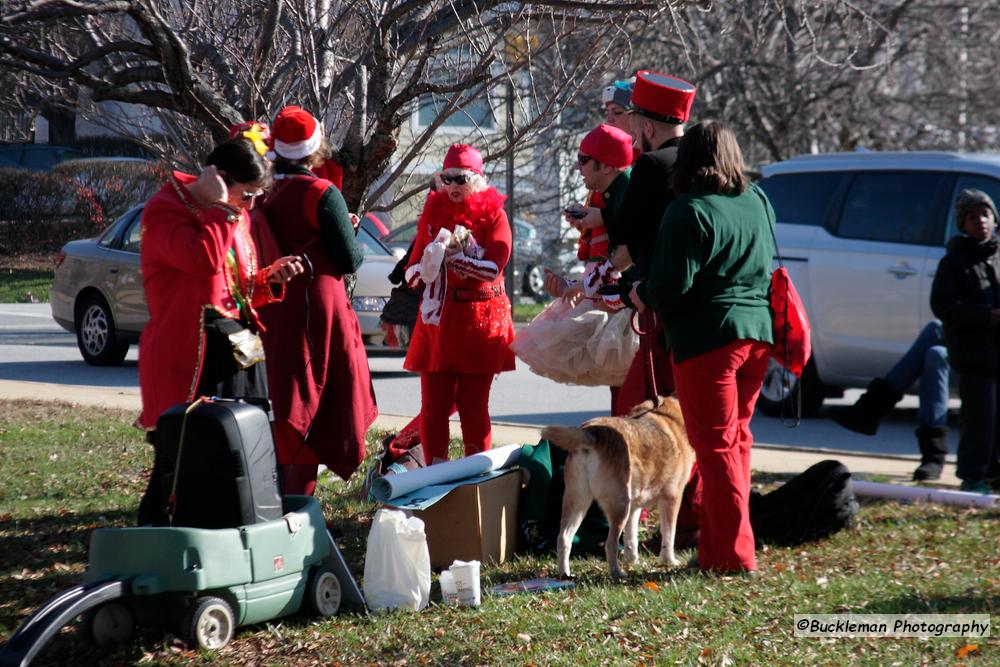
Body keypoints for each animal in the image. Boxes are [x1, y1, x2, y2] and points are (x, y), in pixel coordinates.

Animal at [540, 396, 696, 580]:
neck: (669, 417)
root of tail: (592, 434)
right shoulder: (672, 497)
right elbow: (669, 534)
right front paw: (669, 561)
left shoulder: (635, 508)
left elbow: (631, 539)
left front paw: (632, 561)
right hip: (620, 507)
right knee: (610, 544)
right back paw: (617, 573)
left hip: (577, 502)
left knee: (563, 538)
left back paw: (564, 573)